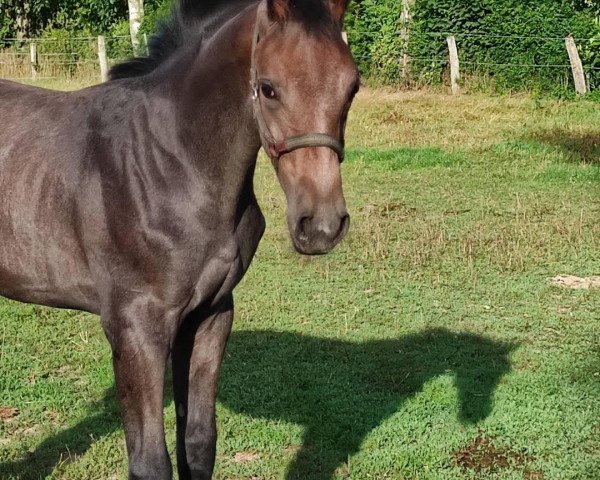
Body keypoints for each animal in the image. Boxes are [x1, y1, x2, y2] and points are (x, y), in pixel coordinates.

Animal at [0, 0, 356, 480]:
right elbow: (150, 462)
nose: (320, 226)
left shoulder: (209, 315)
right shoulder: (135, 328)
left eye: (352, 87)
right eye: (268, 89)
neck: (172, 162)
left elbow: (199, 442)